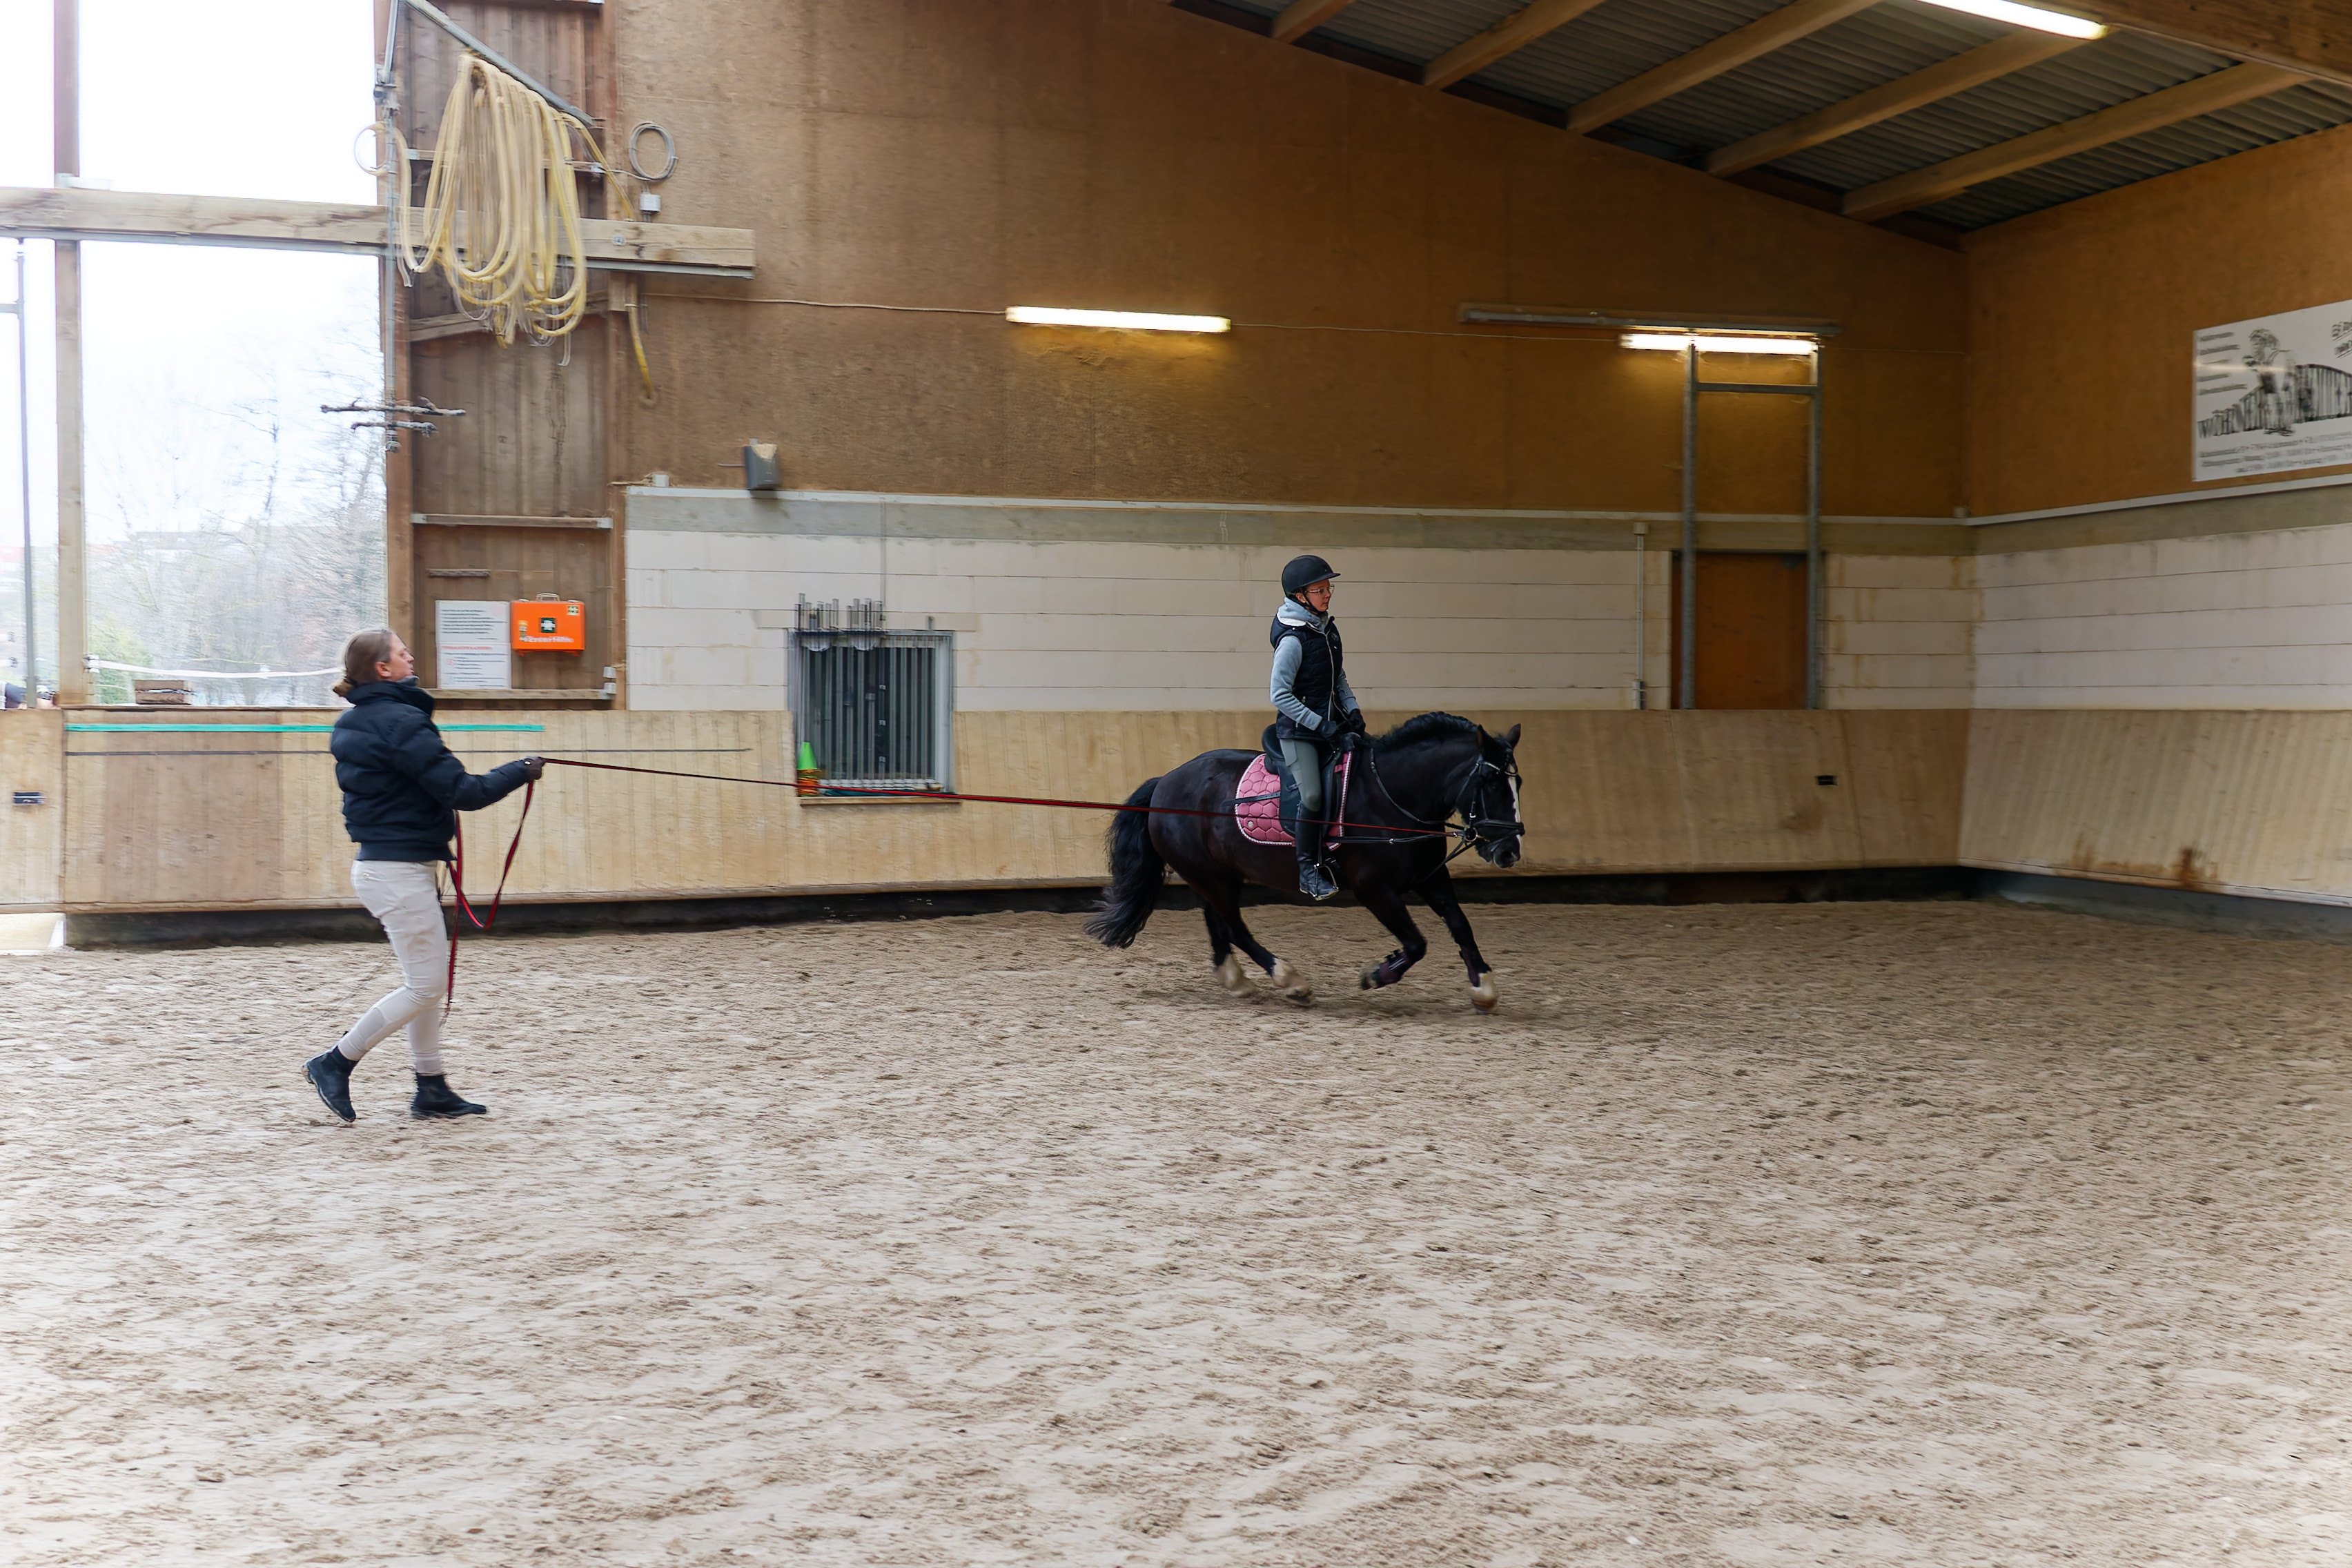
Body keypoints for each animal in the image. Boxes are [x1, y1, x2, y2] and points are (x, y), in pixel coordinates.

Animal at [1085, 714, 1525, 1010]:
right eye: (1489, 783)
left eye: (1517, 782)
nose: (1509, 852)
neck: (1392, 797)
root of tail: (1165, 781)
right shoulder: (1374, 889)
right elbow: (1417, 943)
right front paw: (1375, 975)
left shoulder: (1430, 877)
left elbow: (1460, 924)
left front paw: (1484, 988)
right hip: (1209, 875)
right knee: (1233, 925)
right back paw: (1290, 980)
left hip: (1221, 874)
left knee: (1217, 919)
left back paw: (1236, 980)